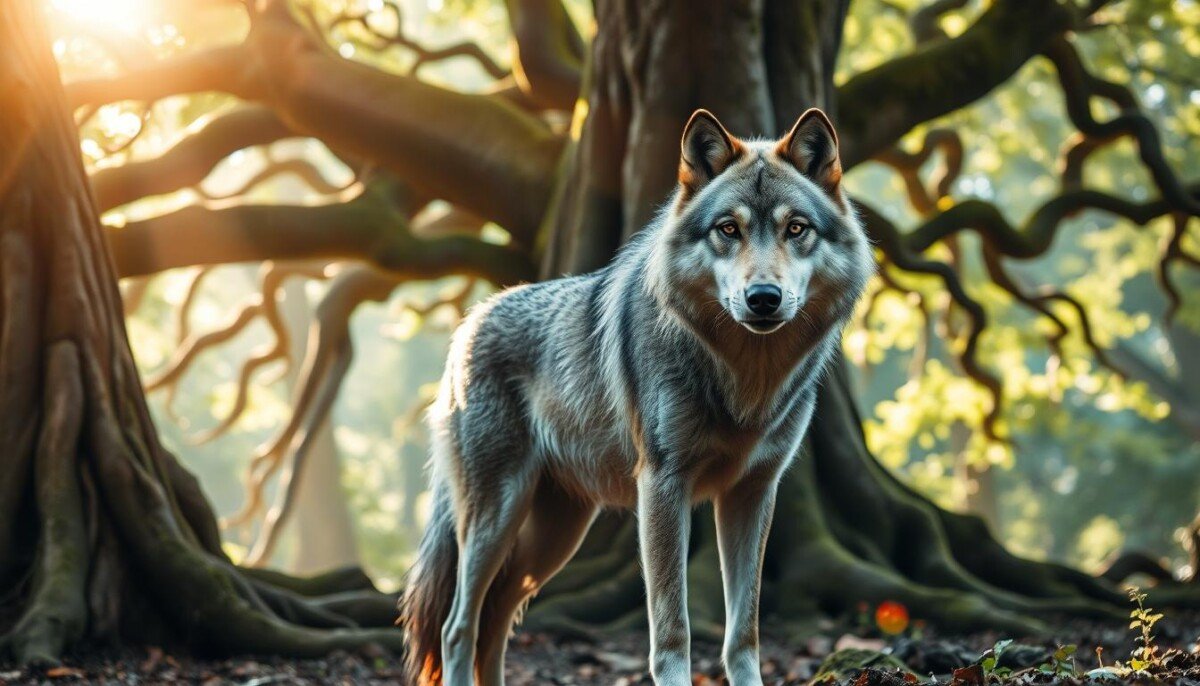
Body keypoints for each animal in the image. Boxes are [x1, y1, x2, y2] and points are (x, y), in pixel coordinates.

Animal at [400, 108, 874, 686]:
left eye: (796, 229)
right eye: (729, 229)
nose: (763, 298)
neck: (744, 381)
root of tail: (470, 322)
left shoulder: (754, 492)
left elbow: (744, 632)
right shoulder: (663, 487)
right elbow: (673, 632)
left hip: (553, 539)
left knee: (495, 622)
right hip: (496, 519)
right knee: (457, 627)